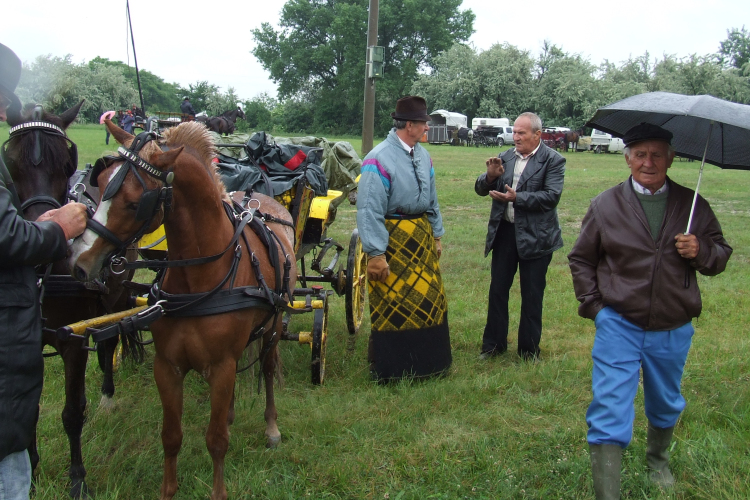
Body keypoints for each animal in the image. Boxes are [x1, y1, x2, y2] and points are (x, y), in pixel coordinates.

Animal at [4, 101, 137, 500]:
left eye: (66, 161)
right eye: (10, 161)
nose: (45, 231)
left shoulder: (73, 342)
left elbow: (72, 413)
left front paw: (77, 478)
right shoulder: (31, 342)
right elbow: (27, 409)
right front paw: (32, 471)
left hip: (118, 294)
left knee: (109, 341)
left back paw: (107, 394)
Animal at [68, 121, 296, 500]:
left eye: (134, 203)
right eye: (98, 184)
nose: (79, 261)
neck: (199, 278)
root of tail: (259, 199)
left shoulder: (221, 365)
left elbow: (216, 441)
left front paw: (219, 490)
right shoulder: (168, 366)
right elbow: (171, 437)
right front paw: (168, 489)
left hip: (274, 325)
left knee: (266, 367)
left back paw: (271, 426)